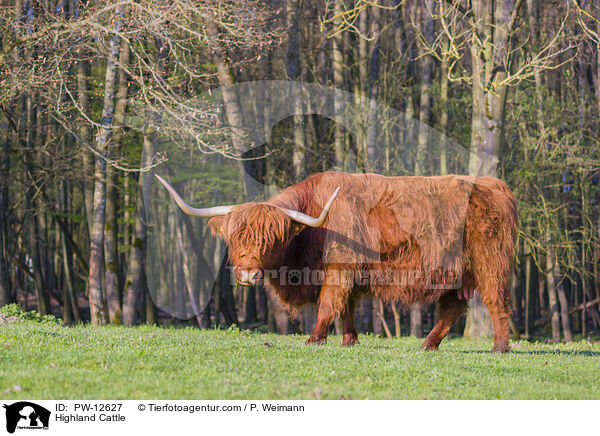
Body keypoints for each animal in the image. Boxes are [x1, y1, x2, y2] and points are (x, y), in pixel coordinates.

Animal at [157, 172, 516, 352]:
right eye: (235, 237)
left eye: (273, 238)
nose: (248, 274)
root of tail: (495, 184)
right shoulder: (353, 275)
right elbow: (348, 308)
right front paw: (350, 340)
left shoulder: (339, 269)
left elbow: (329, 302)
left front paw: (315, 338)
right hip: (458, 274)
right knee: (453, 307)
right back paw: (427, 345)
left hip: (490, 261)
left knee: (497, 301)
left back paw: (500, 347)